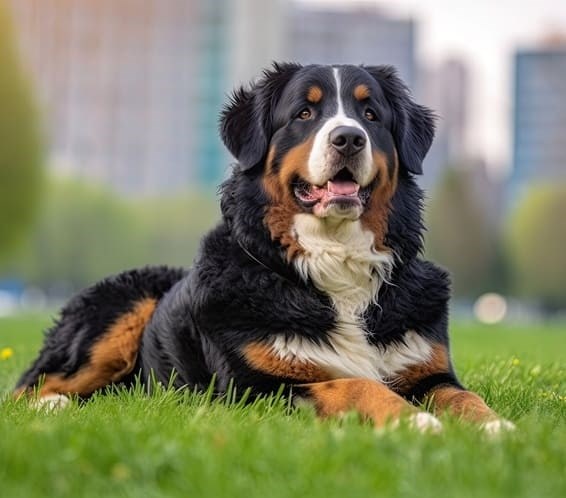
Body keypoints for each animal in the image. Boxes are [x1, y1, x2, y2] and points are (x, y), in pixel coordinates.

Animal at [16, 64, 516, 434]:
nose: (348, 138)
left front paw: (497, 428)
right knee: (28, 386)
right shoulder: (255, 388)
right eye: (304, 114)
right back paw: (53, 408)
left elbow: (464, 395)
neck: (335, 263)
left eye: (371, 115)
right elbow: (355, 385)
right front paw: (415, 422)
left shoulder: (429, 370)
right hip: (121, 309)